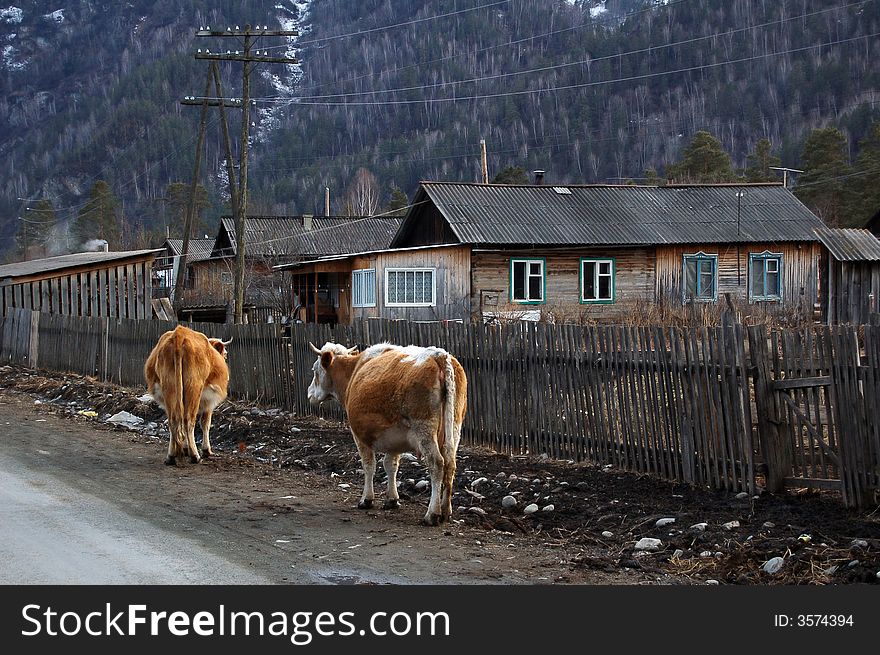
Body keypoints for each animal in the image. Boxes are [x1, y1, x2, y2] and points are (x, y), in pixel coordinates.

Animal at [144, 326, 230, 464]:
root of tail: (179, 334)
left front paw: (184, 448)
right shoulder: (209, 402)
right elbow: (205, 423)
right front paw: (206, 450)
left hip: (169, 389)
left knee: (174, 420)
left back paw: (171, 456)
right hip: (194, 388)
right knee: (188, 420)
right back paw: (195, 455)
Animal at [310, 340, 468, 524]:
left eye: (315, 370)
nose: (309, 393)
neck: (354, 370)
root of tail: (439, 355)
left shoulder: (359, 436)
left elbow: (369, 465)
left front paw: (366, 499)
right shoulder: (394, 439)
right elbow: (390, 465)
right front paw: (392, 499)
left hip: (424, 429)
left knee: (437, 463)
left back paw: (432, 514)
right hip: (454, 429)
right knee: (450, 463)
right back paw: (446, 510)